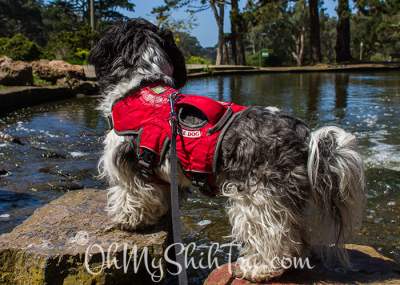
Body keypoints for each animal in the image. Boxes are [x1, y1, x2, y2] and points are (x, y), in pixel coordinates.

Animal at [89, 18, 368, 282]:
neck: (142, 84)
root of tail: (305, 138)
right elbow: (159, 194)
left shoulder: (127, 163)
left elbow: (129, 194)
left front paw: (128, 220)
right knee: (295, 237)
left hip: (257, 198)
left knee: (273, 238)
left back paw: (257, 268)